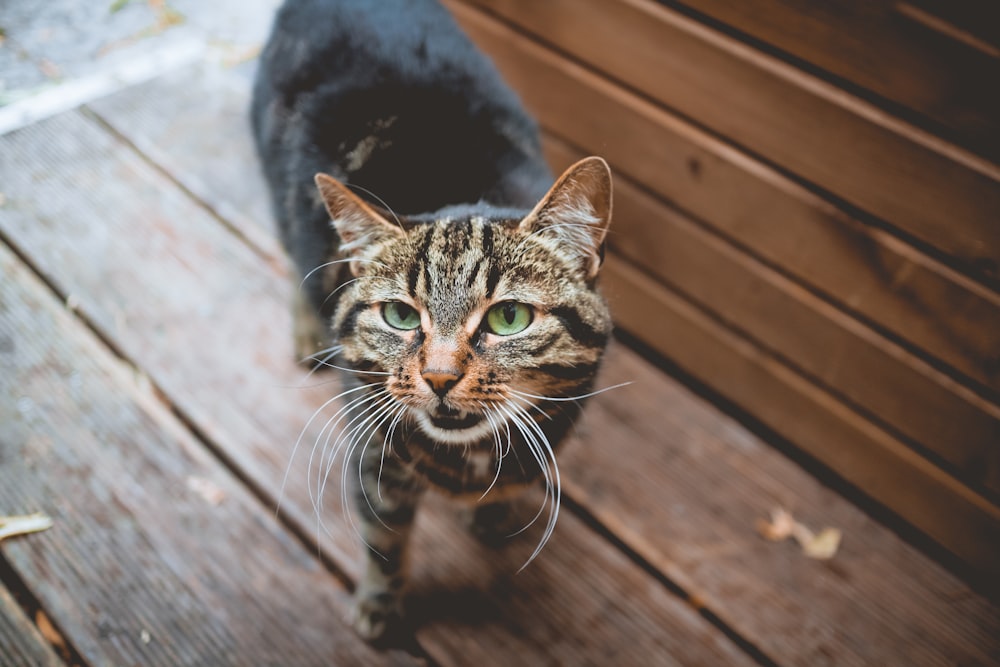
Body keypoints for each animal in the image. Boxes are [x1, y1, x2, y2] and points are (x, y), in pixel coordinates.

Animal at [252, 0, 608, 644]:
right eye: (399, 314)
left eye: (509, 317)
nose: (440, 377)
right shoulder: (373, 455)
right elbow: (383, 540)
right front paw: (380, 606)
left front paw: (498, 511)